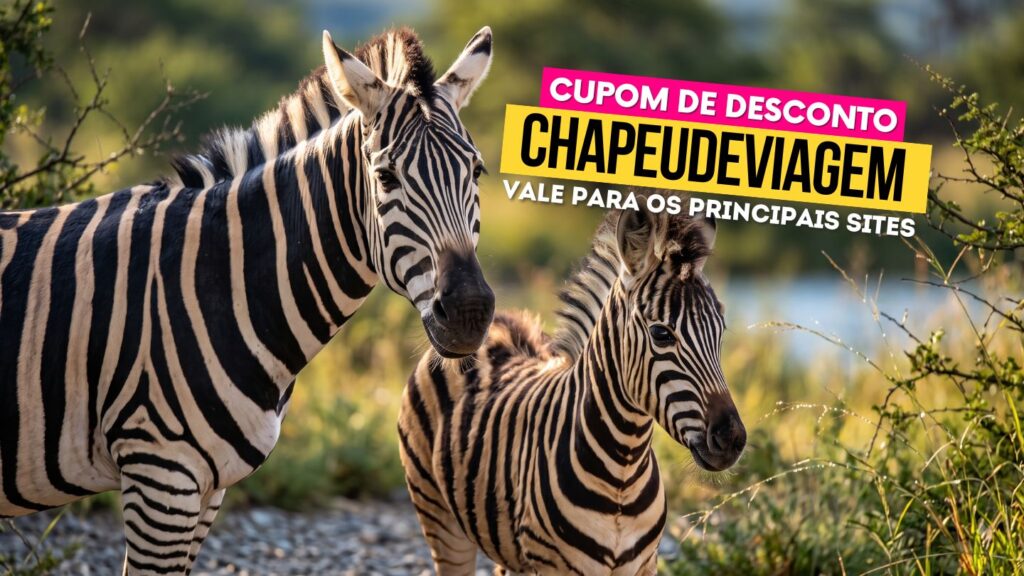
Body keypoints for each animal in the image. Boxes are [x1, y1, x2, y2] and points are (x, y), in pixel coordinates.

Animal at [0, 26, 495, 575]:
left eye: (477, 172)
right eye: (386, 178)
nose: (469, 313)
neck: (219, 279)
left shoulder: (205, 487)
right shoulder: (159, 471)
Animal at [398, 199, 746, 575]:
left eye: (721, 331)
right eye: (661, 334)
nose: (731, 439)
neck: (623, 473)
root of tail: (495, 322)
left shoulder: (643, 564)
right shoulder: (556, 565)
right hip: (437, 514)